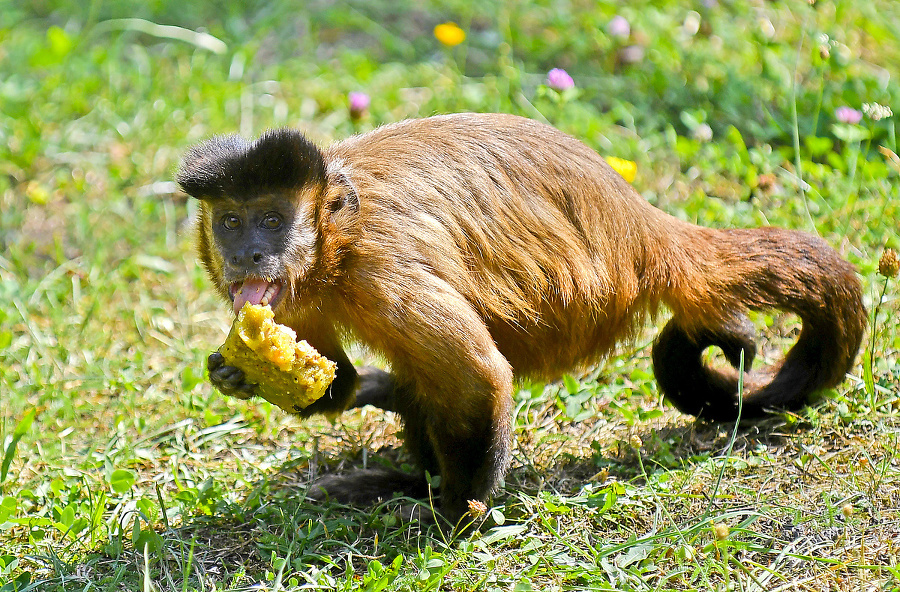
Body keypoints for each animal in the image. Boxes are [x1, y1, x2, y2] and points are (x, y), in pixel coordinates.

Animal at [176, 111, 864, 524]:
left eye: (272, 221)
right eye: (231, 221)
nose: (248, 254)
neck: (334, 244)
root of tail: (645, 229)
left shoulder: (381, 266)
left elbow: (479, 376)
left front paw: (454, 518)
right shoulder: (294, 301)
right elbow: (331, 380)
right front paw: (237, 374)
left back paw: (428, 494)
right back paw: (403, 468)